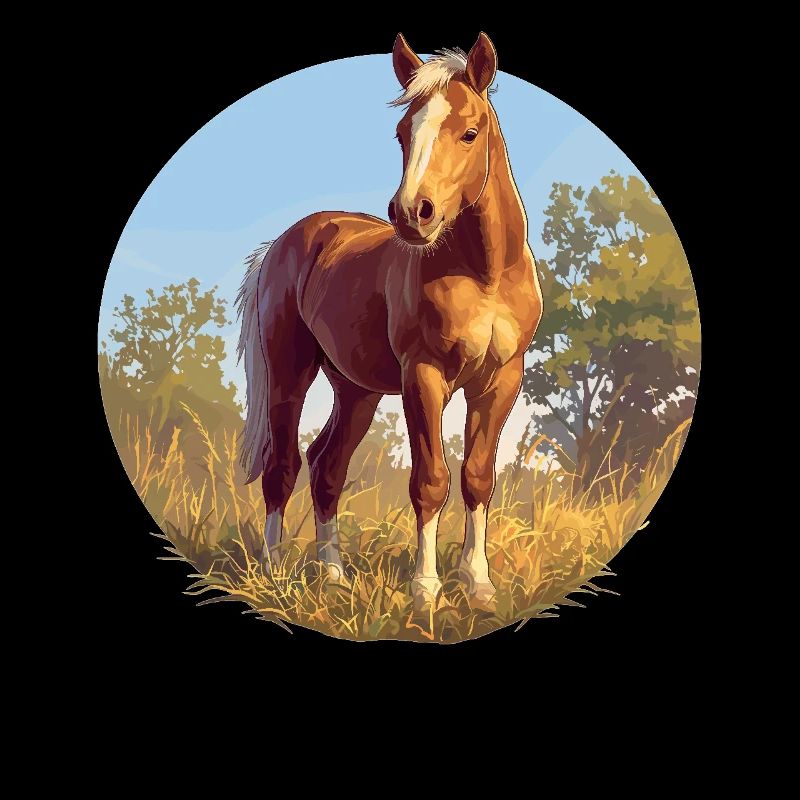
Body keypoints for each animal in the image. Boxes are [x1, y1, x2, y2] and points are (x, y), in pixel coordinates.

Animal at [236, 32, 542, 608]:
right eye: (402, 133)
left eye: (470, 133)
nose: (410, 214)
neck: (485, 274)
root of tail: (288, 242)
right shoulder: (424, 376)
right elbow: (430, 480)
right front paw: (425, 590)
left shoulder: (500, 381)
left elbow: (477, 476)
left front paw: (478, 584)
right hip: (290, 375)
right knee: (282, 466)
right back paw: (273, 573)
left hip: (356, 390)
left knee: (327, 467)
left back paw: (333, 575)